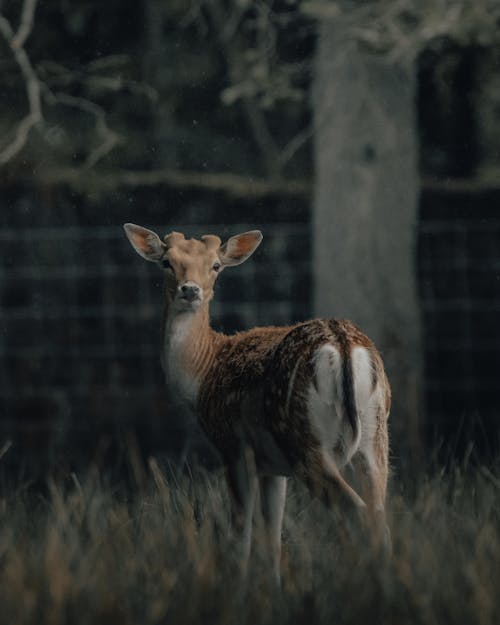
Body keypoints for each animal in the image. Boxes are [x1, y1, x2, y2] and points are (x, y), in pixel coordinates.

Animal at [124, 224, 390, 584]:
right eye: (167, 261)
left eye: (216, 265)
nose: (190, 289)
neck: (203, 374)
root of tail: (344, 345)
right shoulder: (273, 467)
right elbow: (273, 539)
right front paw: (273, 588)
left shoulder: (233, 448)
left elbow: (241, 538)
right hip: (375, 437)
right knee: (380, 519)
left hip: (304, 439)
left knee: (359, 514)